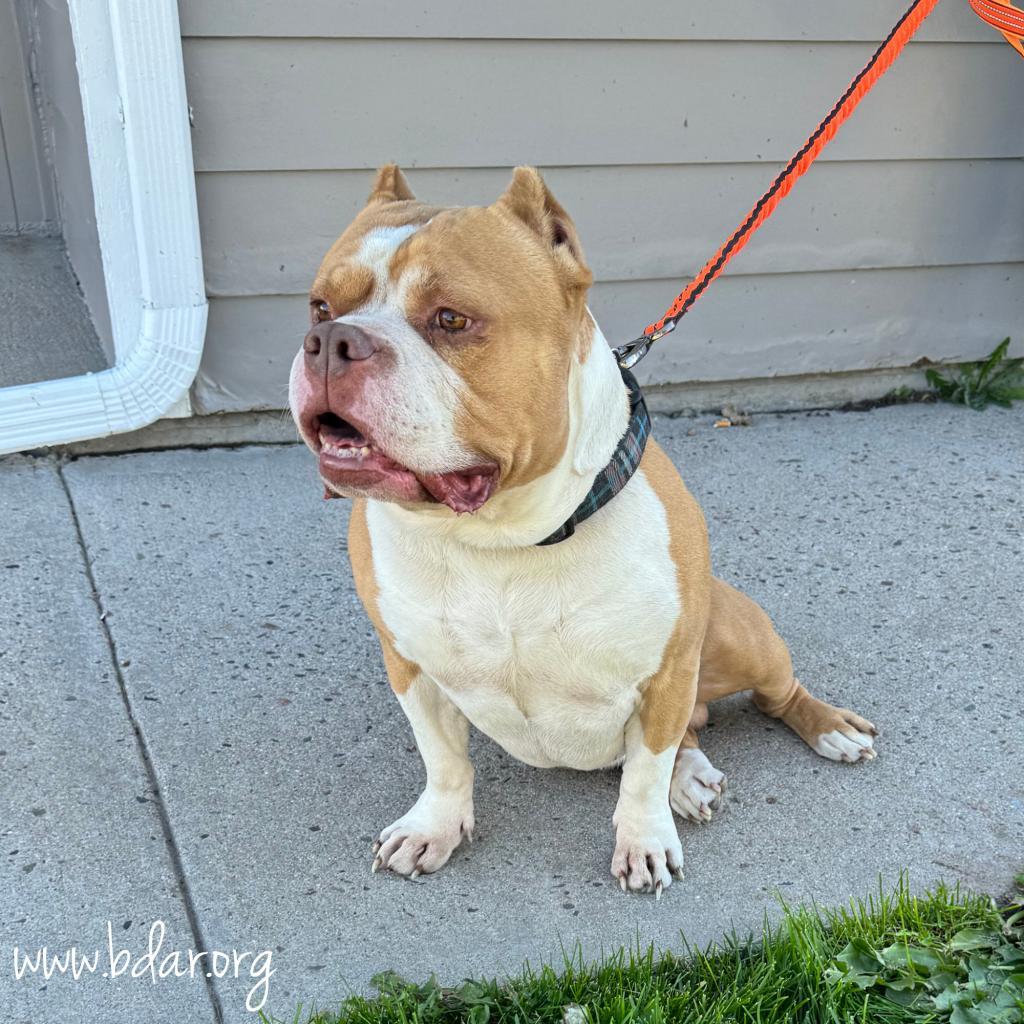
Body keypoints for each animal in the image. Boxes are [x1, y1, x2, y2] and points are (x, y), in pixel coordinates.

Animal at [290, 161, 880, 897]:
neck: (502, 537)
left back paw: (824, 731)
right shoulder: (411, 667)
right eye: (319, 306)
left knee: (764, 700)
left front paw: (645, 839)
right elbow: (445, 759)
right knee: (690, 733)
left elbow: (645, 770)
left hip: (740, 637)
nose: (331, 342)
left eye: (451, 319)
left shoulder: (666, 673)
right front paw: (435, 826)